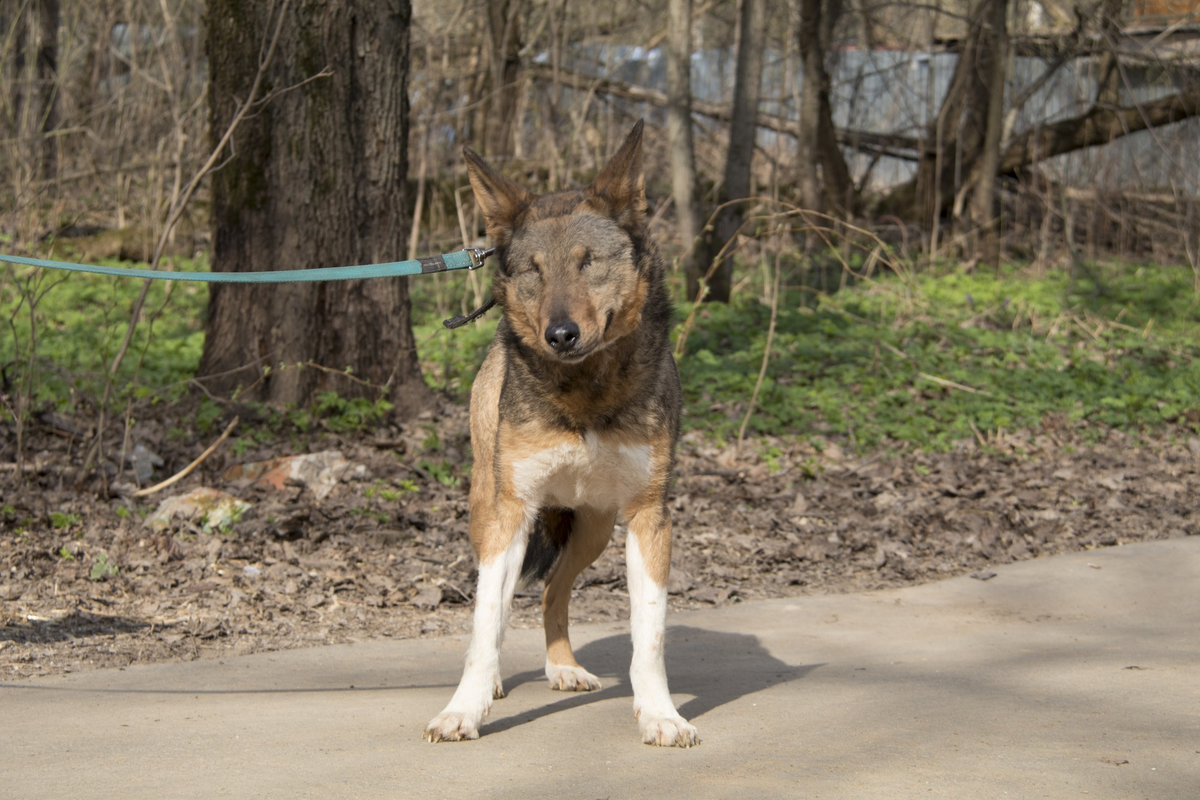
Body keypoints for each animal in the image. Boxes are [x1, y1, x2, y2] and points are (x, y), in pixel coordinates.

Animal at [424, 122, 700, 748]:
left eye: (588, 262)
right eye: (534, 270)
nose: (560, 334)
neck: (583, 392)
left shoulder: (650, 518)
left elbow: (649, 636)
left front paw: (661, 714)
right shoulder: (510, 513)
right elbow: (486, 625)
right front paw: (464, 709)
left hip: (594, 528)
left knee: (553, 589)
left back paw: (564, 667)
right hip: (486, 508)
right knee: (506, 600)